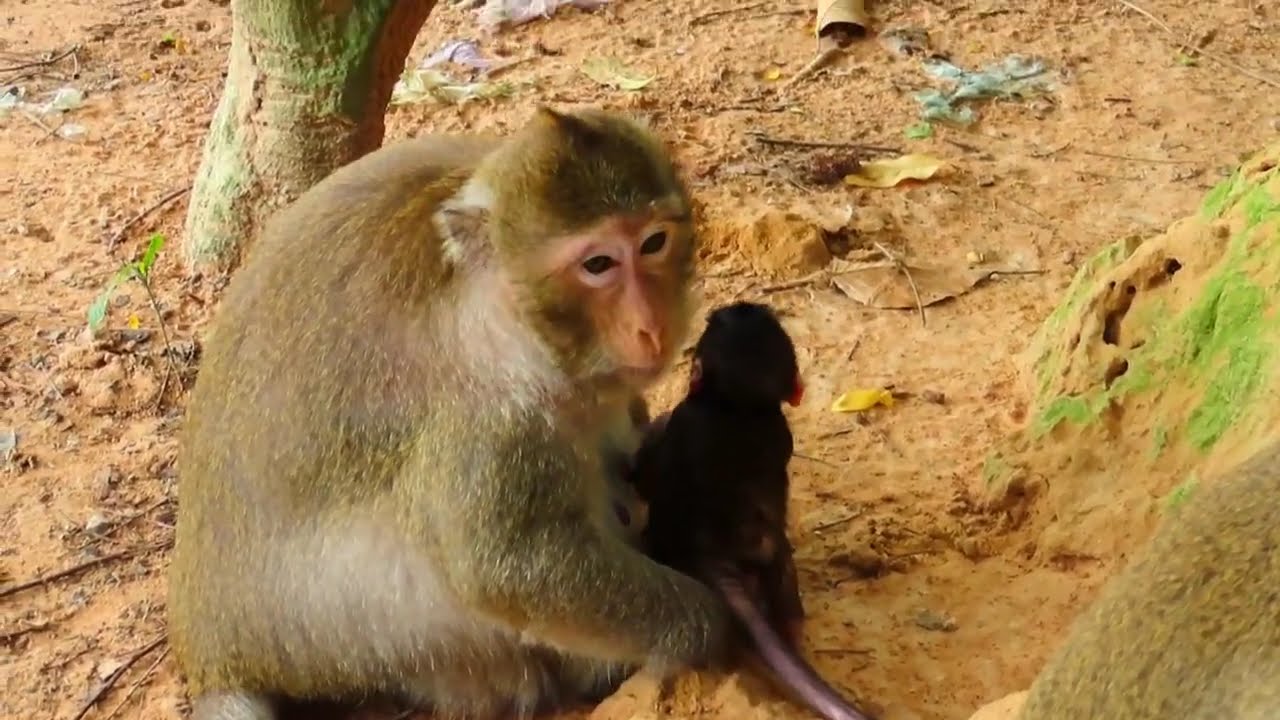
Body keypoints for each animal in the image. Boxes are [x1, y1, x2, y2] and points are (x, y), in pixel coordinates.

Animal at [167, 106, 734, 720]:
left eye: (653, 242)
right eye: (598, 263)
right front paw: (706, 624)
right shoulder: (491, 413)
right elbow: (508, 568)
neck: (502, 304)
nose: (651, 325)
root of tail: (214, 661)